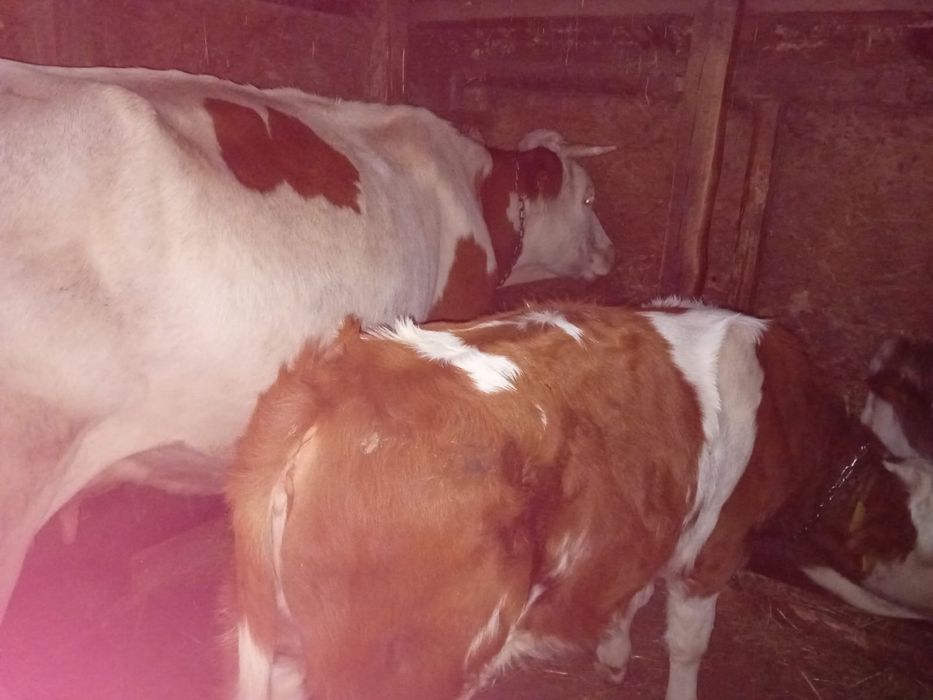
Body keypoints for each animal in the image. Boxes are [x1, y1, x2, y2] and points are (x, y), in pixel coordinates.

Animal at [227, 299, 839, 700]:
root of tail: (334, 384)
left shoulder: (640, 535)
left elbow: (629, 596)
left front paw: (613, 656)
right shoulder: (715, 550)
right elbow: (688, 645)